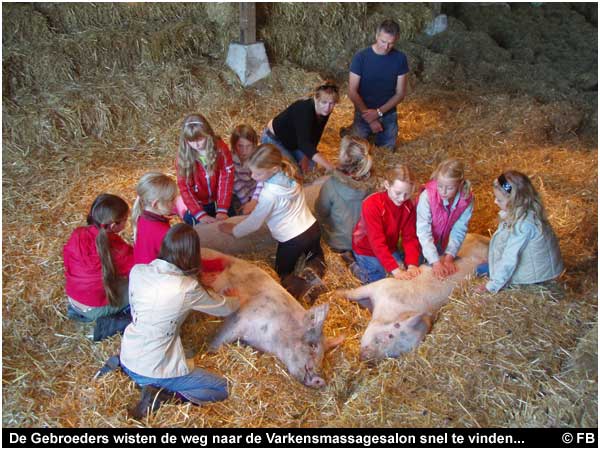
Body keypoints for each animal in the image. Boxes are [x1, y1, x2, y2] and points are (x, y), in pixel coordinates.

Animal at [200, 246, 342, 386]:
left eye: (323, 356)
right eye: (313, 345)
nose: (320, 380)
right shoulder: (241, 317)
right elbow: (219, 340)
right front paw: (208, 352)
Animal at [338, 234, 488, 360]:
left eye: (393, 354)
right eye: (390, 335)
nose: (366, 357)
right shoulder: (382, 286)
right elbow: (353, 293)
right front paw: (338, 293)